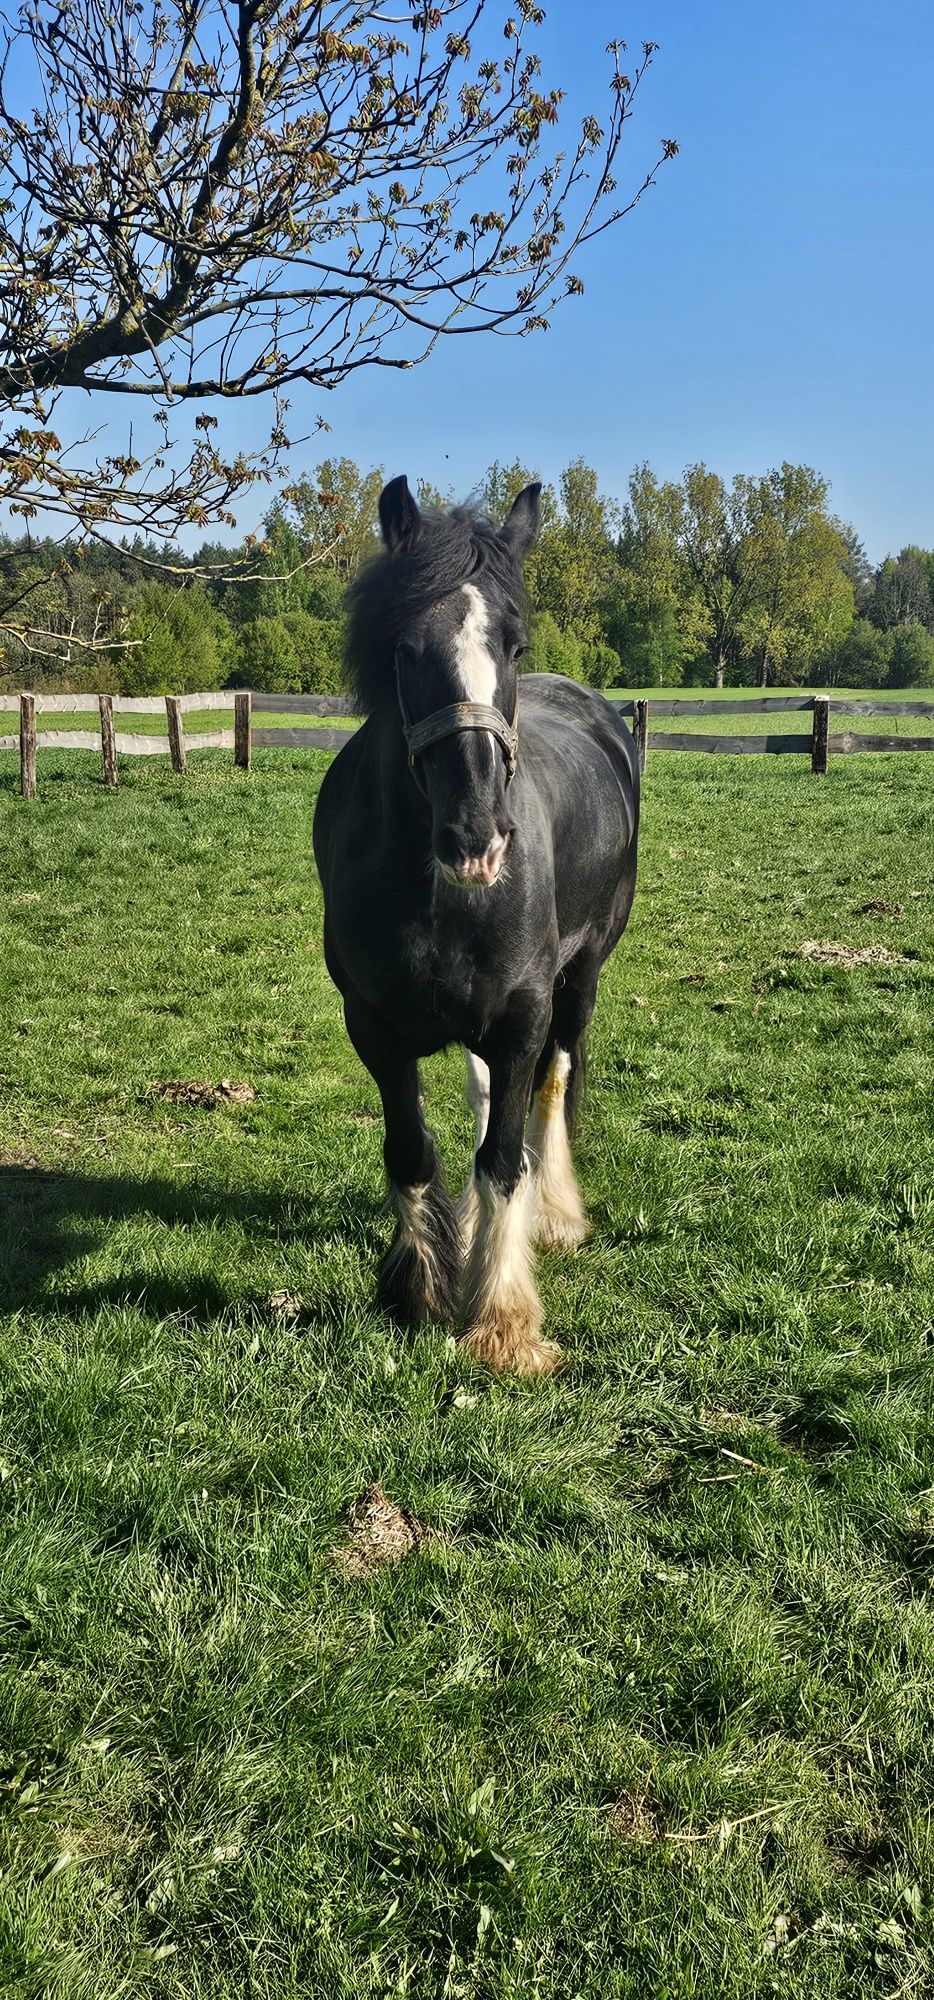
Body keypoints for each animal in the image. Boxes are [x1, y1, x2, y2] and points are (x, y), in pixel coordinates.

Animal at [314, 474, 644, 1376]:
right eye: (405, 650)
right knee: (485, 1094)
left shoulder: (523, 1014)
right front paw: (423, 1286)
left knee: (549, 1083)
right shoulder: (373, 1025)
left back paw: (555, 1213)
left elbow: (502, 1158)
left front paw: (502, 1319)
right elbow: (414, 1148)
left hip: (580, 978)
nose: (477, 837)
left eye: (514, 646)